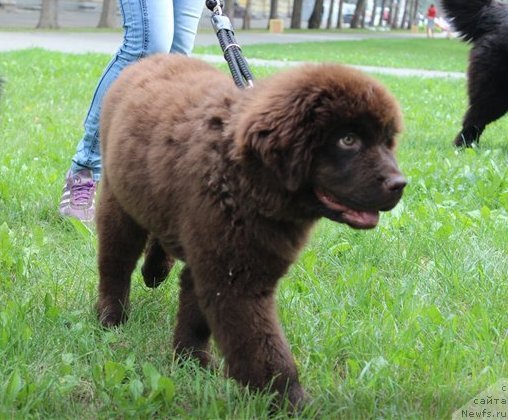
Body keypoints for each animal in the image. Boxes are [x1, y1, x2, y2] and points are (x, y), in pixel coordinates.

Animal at [94, 54, 404, 408]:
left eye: (387, 142)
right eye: (348, 139)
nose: (400, 184)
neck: (243, 175)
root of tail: (149, 59)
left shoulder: (226, 259)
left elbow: (197, 315)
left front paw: (190, 362)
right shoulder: (235, 279)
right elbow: (262, 351)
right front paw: (291, 403)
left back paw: (154, 271)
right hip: (118, 200)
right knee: (115, 262)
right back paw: (110, 317)